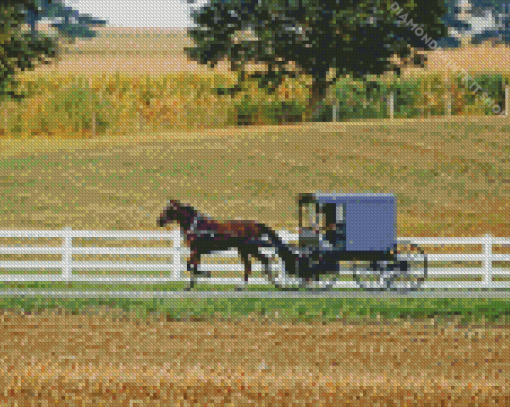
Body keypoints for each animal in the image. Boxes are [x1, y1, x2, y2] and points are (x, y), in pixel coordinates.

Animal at [157, 200, 296, 290]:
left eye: (169, 209)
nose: (159, 221)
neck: (195, 225)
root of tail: (256, 224)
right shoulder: (197, 251)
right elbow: (193, 267)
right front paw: (190, 285)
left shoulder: (196, 250)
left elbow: (190, 266)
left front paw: (206, 274)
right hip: (245, 249)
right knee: (255, 263)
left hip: (248, 248)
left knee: (257, 262)